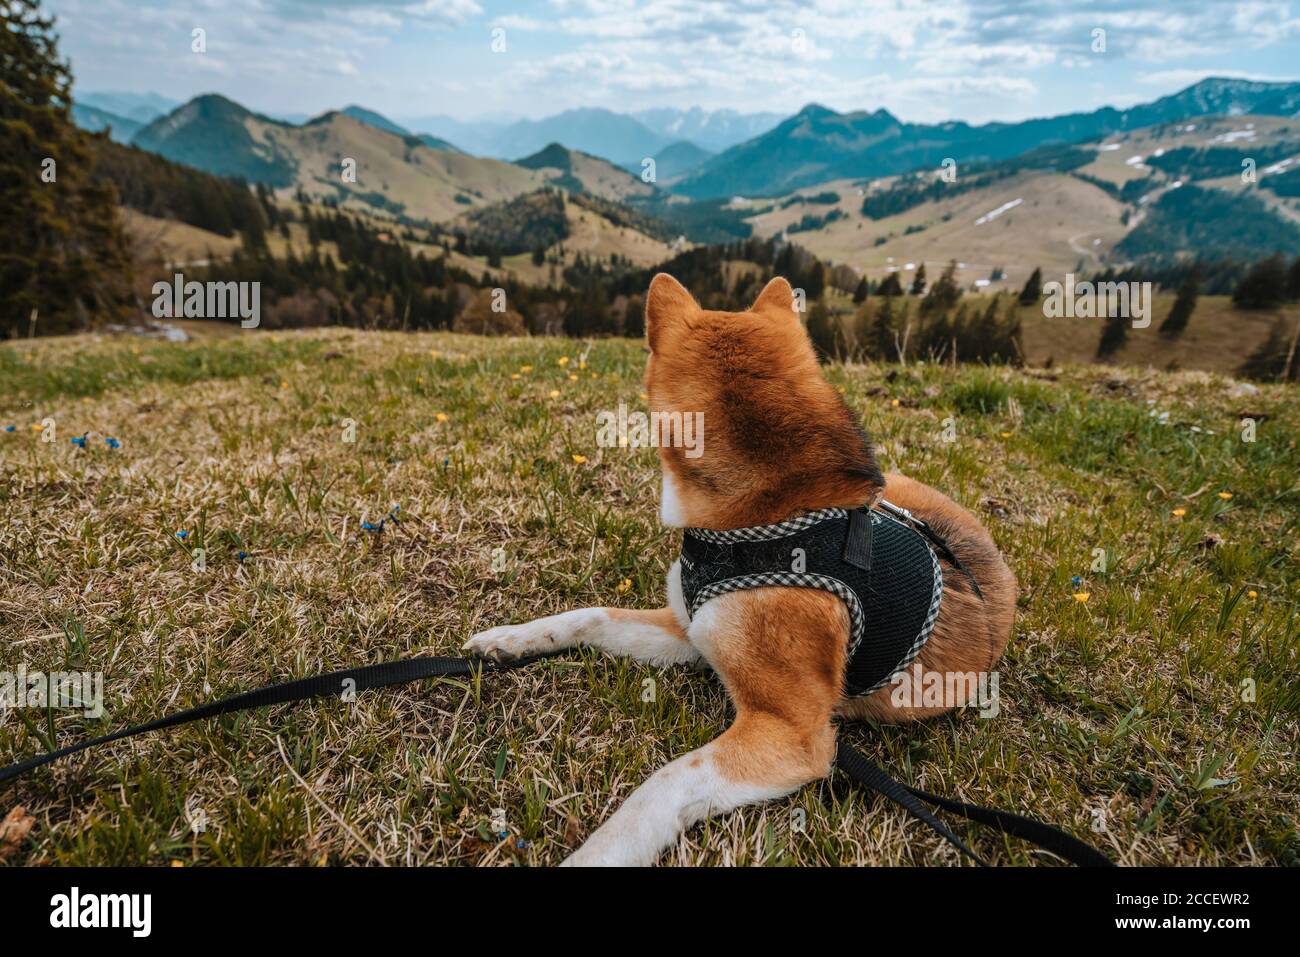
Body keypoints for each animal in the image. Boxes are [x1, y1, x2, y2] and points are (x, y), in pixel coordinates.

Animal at [462, 270, 1019, 868]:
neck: (768, 519)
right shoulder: (688, 631)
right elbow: (590, 617)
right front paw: (510, 640)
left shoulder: (793, 734)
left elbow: (663, 784)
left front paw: (597, 855)